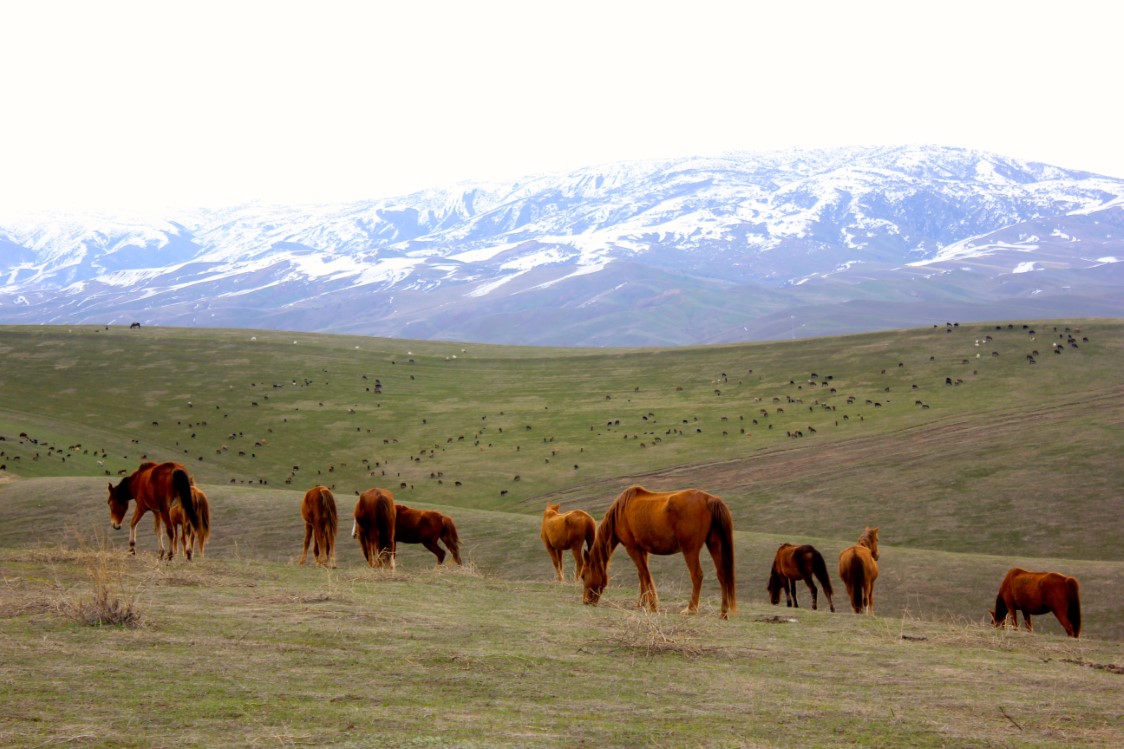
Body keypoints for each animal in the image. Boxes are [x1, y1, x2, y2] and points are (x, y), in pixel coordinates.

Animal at [579, 483, 737, 616]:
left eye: (583, 575)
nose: (586, 602)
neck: (622, 511)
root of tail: (709, 499)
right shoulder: (642, 550)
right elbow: (641, 574)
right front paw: (642, 603)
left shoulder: (632, 548)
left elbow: (645, 574)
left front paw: (653, 606)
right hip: (714, 544)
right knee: (722, 575)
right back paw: (723, 612)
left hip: (690, 550)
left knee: (697, 575)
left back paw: (691, 609)